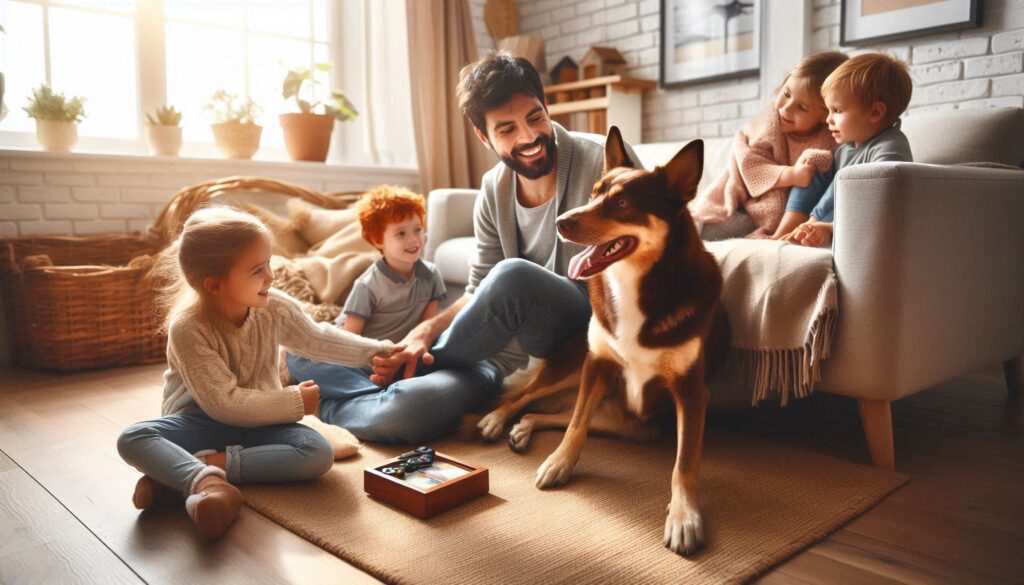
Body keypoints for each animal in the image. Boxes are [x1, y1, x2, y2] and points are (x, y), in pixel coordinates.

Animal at [479, 128, 729, 557]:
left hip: (633, 426)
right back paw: (499, 419)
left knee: (549, 413)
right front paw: (559, 463)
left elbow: (684, 463)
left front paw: (684, 517)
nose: (561, 221)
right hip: (577, 372)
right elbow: (575, 426)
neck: (636, 283)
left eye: (623, 203)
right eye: (594, 193)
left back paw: (523, 428)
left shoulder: (691, 390)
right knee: (532, 399)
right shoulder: (596, 363)